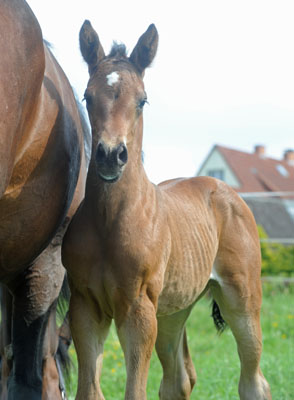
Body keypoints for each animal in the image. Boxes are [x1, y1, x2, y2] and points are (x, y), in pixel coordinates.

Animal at [62, 21, 272, 400]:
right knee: (179, 380)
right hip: (173, 311)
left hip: (242, 299)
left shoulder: (137, 310)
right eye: (87, 96)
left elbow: (135, 391)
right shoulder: (85, 308)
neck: (109, 222)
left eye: (142, 100)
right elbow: (89, 391)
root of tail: (224, 190)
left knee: (253, 381)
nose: (110, 155)